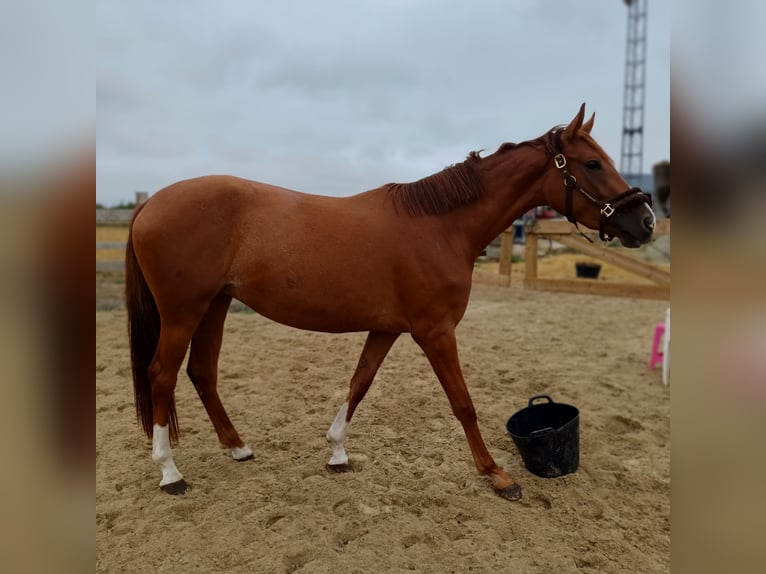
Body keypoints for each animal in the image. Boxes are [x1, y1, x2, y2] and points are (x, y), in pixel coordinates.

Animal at [124, 106, 656, 502]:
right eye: (592, 165)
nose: (646, 221)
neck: (440, 225)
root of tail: (150, 203)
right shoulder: (435, 332)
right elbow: (463, 403)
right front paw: (495, 473)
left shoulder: (388, 328)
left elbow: (359, 384)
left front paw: (337, 452)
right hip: (183, 311)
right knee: (161, 375)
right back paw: (170, 473)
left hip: (214, 305)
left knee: (203, 373)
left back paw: (237, 448)